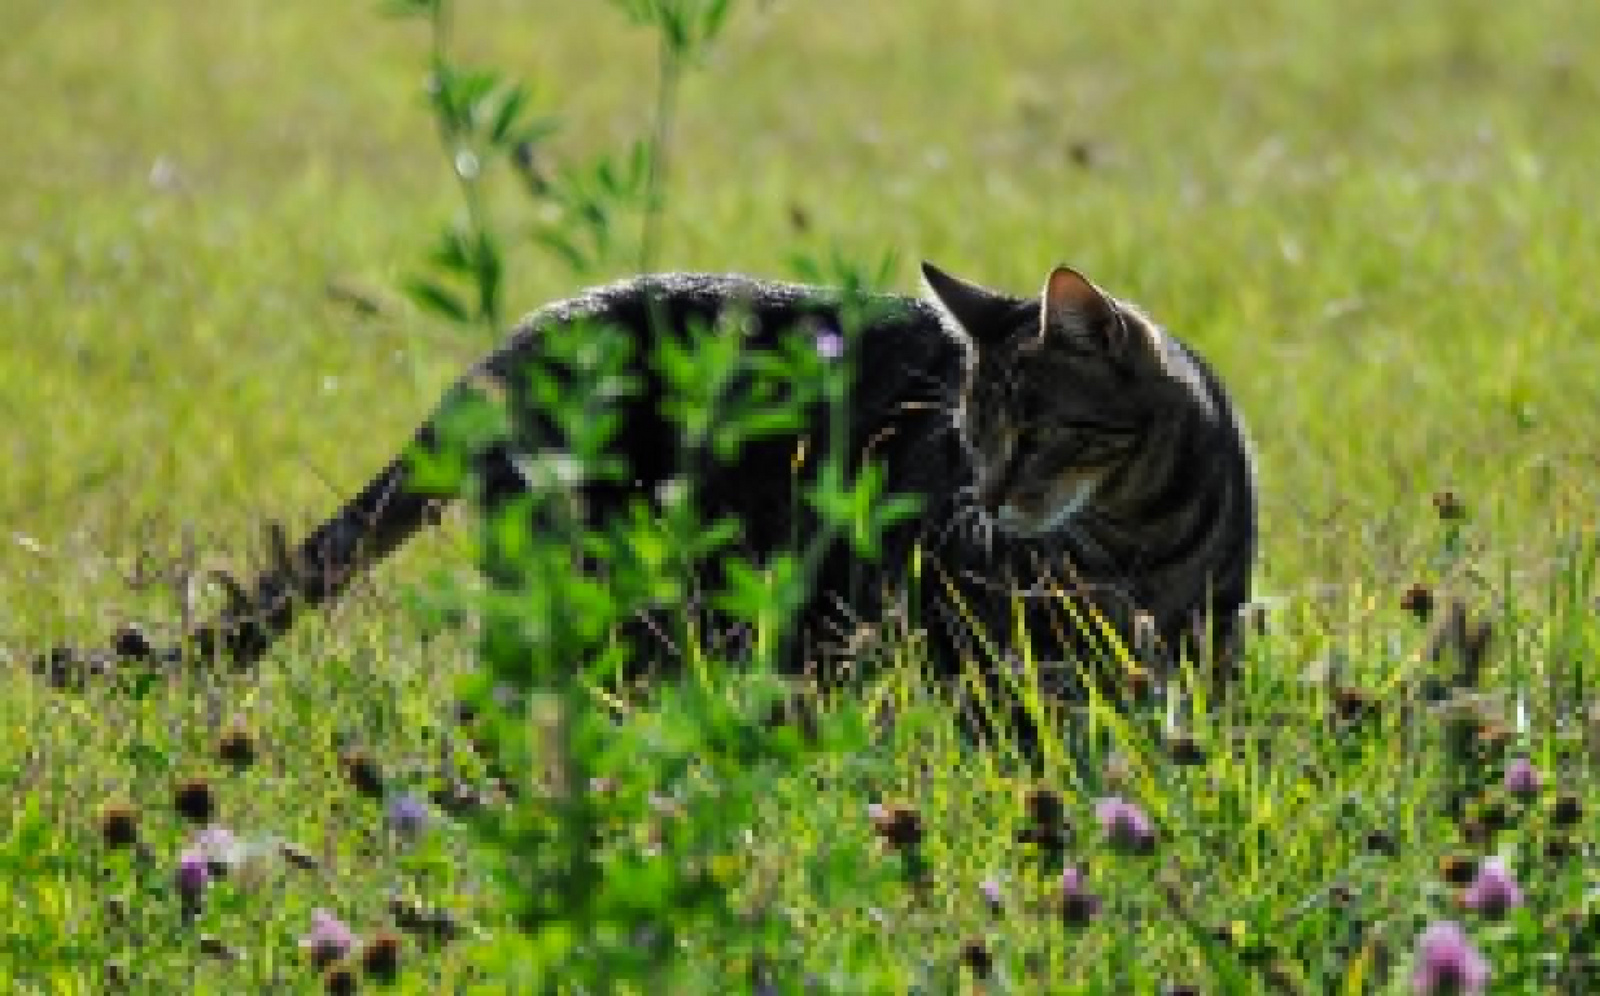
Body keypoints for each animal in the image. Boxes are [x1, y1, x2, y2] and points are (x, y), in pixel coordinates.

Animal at [43, 261, 1254, 701]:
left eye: (1036, 432)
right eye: (972, 432)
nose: (991, 498)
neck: (1134, 537)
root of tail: (509, 346)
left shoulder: (1204, 647)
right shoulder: (969, 649)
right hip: (605, 595)